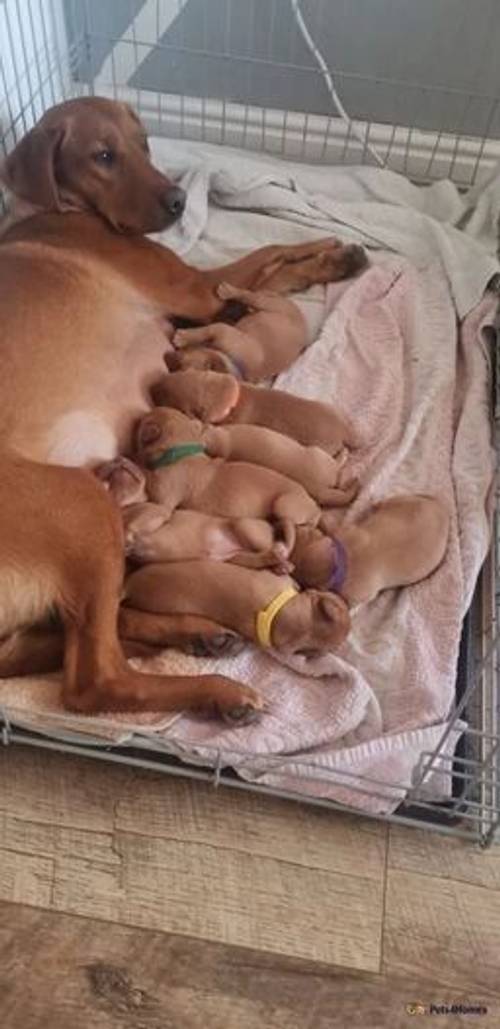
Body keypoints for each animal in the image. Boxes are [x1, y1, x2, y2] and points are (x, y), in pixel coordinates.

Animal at [169, 281, 306, 382]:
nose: (171, 360)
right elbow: (205, 331)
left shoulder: (221, 329)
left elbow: (204, 331)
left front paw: (182, 337)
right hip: (266, 304)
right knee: (250, 297)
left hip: (266, 303)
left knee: (248, 296)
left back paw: (228, 292)